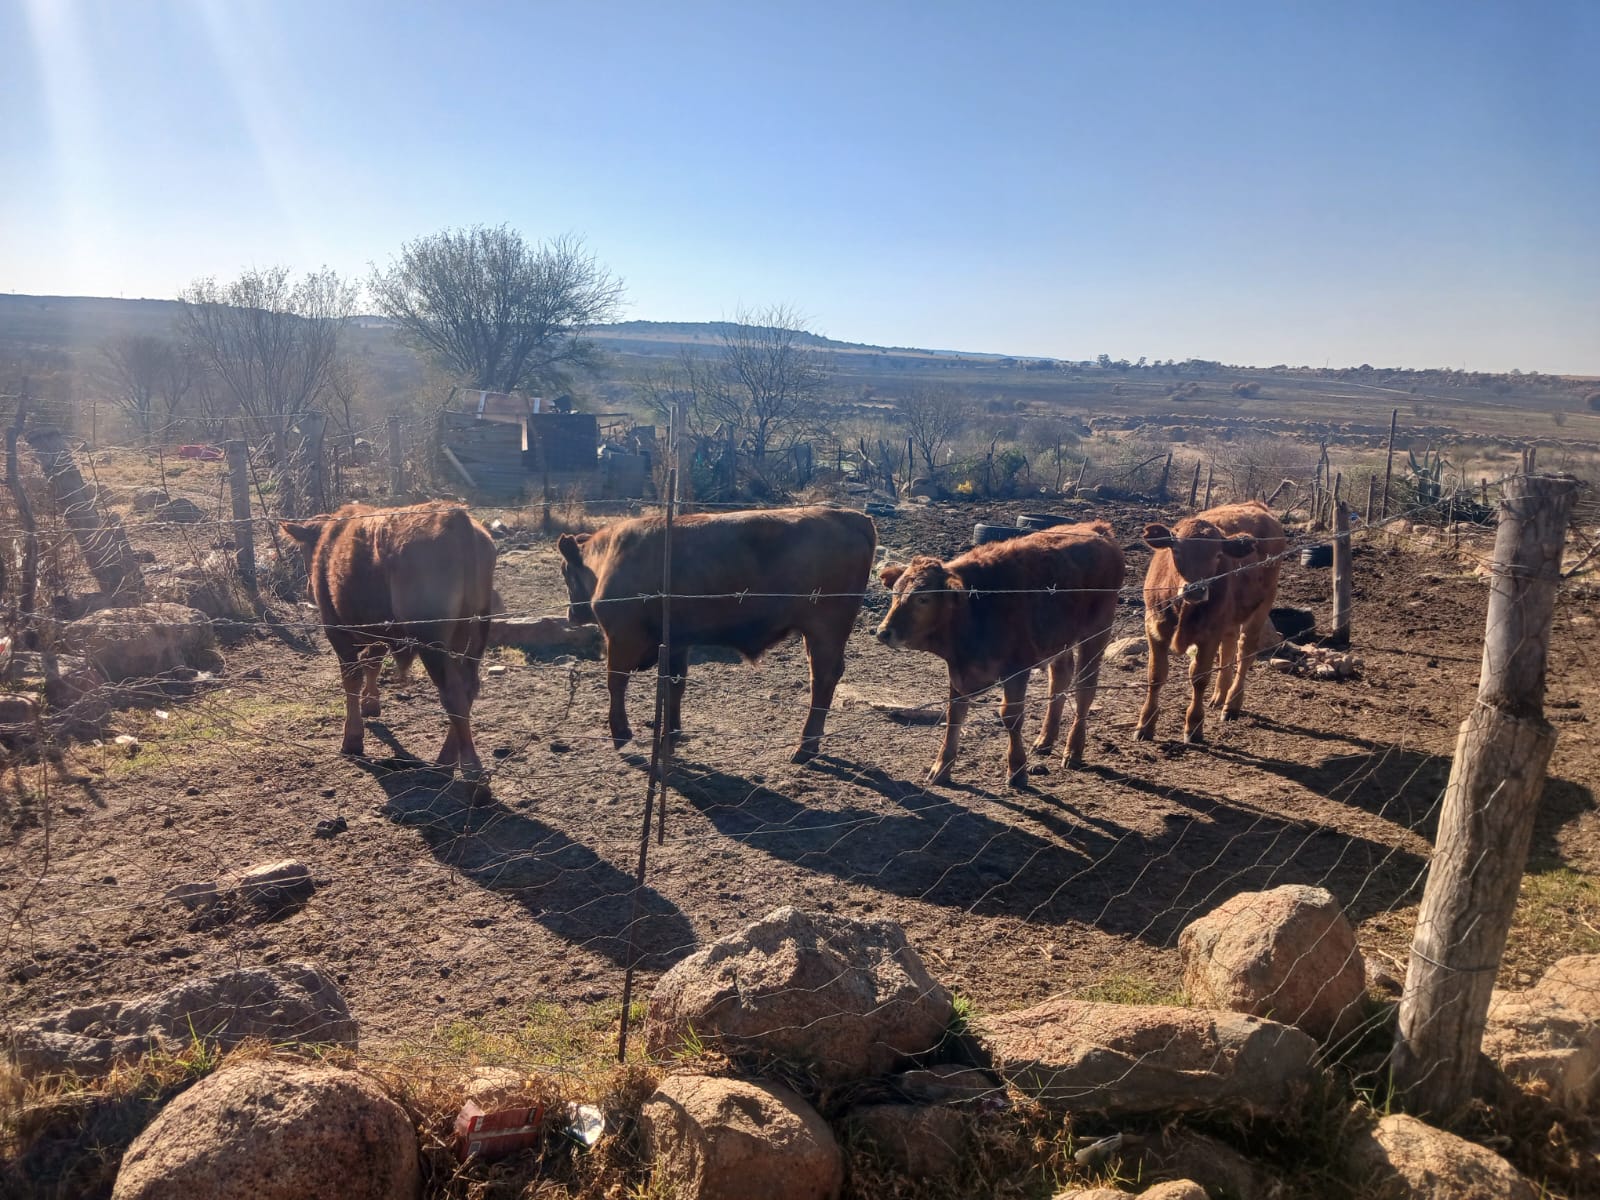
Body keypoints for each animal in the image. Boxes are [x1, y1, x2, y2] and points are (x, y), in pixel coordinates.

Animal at [281, 502, 496, 776]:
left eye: (307, 551)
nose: (309, 589)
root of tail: (456, 516)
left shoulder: (336, 629)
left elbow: (351, 679)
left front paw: (352, 739)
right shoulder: (379, 630)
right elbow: (373, 663)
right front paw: (370, 704)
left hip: (431, 638)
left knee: (453, 693)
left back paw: (466, 766)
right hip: (475, 632)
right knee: (468, 687)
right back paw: (448, 758)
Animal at [556, 506, 877, 763]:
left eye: (565, 572)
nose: (571, 615)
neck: (611, 556)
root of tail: (852, 516)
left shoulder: (622, 639)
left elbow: (616, 684)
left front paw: (621, 734)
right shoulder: (675, 644)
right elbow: (674, 685)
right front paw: (671, 735)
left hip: (824, 631)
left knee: (822, 679)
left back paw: (804, 747)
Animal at [875, 521, 1125, 788]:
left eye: (923, 599)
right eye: (895, 593)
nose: (883, 632)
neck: (975, 609)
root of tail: (1097, 528)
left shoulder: (1016, 670)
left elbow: (1011, 716)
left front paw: (1017, 770)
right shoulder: (959, 672)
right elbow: (954, 715)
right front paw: (941, 768)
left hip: (1097, 633)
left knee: (1085, 689)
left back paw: (1073, 751)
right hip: (1059, 641)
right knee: (1059, 679)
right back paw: (1045, 740)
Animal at [1134, 500, 1287, 744]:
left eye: (1217, 555)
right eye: (1176, 550)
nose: (1196, 589)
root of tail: (1256, 505)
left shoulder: (1209, 634)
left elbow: (1199, 678)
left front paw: (1194, 726)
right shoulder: (1154, 628)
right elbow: (1155, 676)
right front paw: (1145, 725)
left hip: (1263, 605)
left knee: (1245, 651)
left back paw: (1231, 704)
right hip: (1230, 618)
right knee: (1229, 647)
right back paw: (1219, 696)